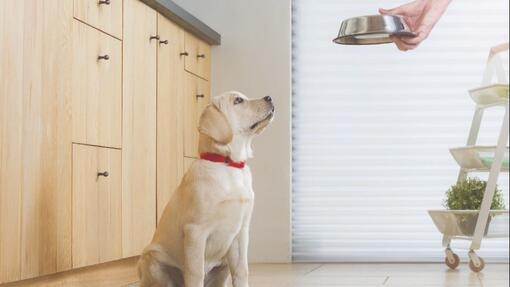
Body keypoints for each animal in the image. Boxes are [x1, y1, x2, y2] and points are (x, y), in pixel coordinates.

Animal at [137, 91, 274, 287]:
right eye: (238, 100)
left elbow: (242, 271)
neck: (228, 164)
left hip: (223, 265)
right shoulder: (195, 231)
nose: (269, 98)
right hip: (152, 260)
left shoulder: (241, 233)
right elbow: (195, 273)